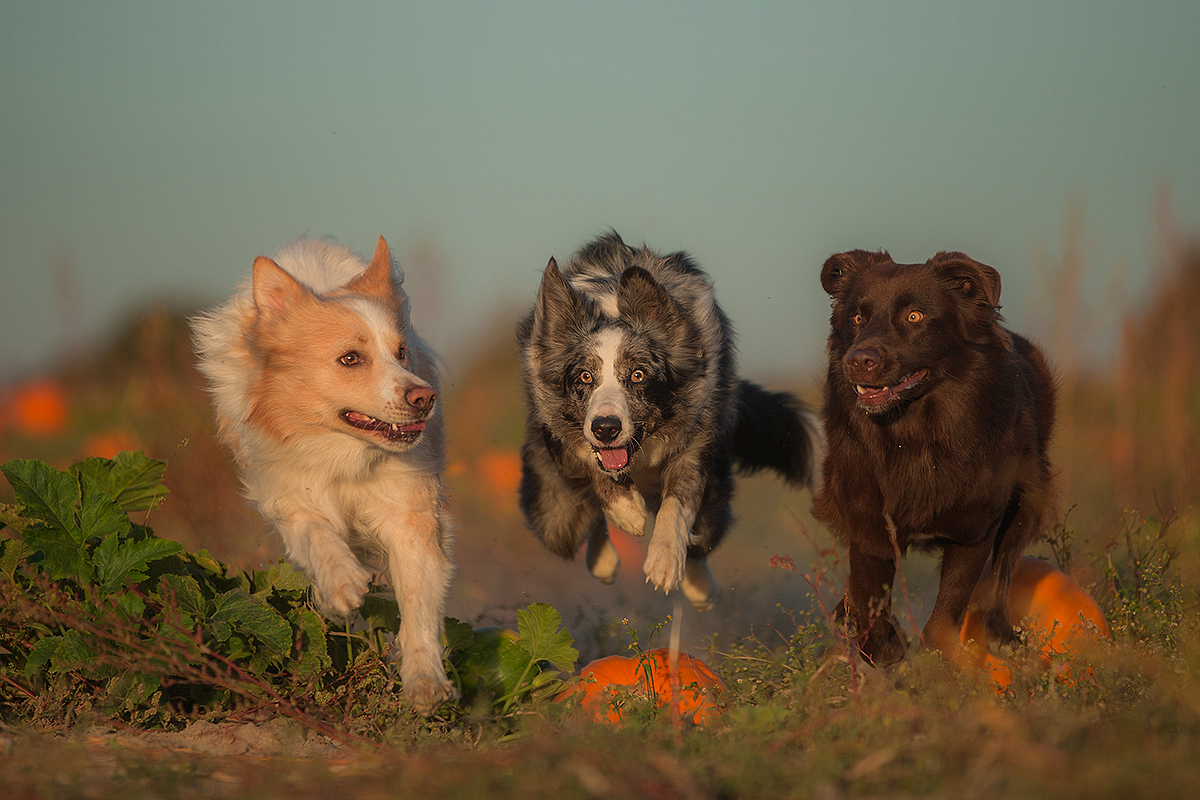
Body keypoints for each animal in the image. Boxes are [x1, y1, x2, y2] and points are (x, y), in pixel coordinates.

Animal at [811, 250, 1056, 671]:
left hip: (1028, 499)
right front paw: (887, 649)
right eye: (857, 318)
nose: (858, 361)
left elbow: (948, 611)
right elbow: (869, 603)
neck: (916, 432)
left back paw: (1003, 636)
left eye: (915, 316)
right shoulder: (870, 526)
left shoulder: (974, 529)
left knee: (1003, 571)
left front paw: (933, 667)